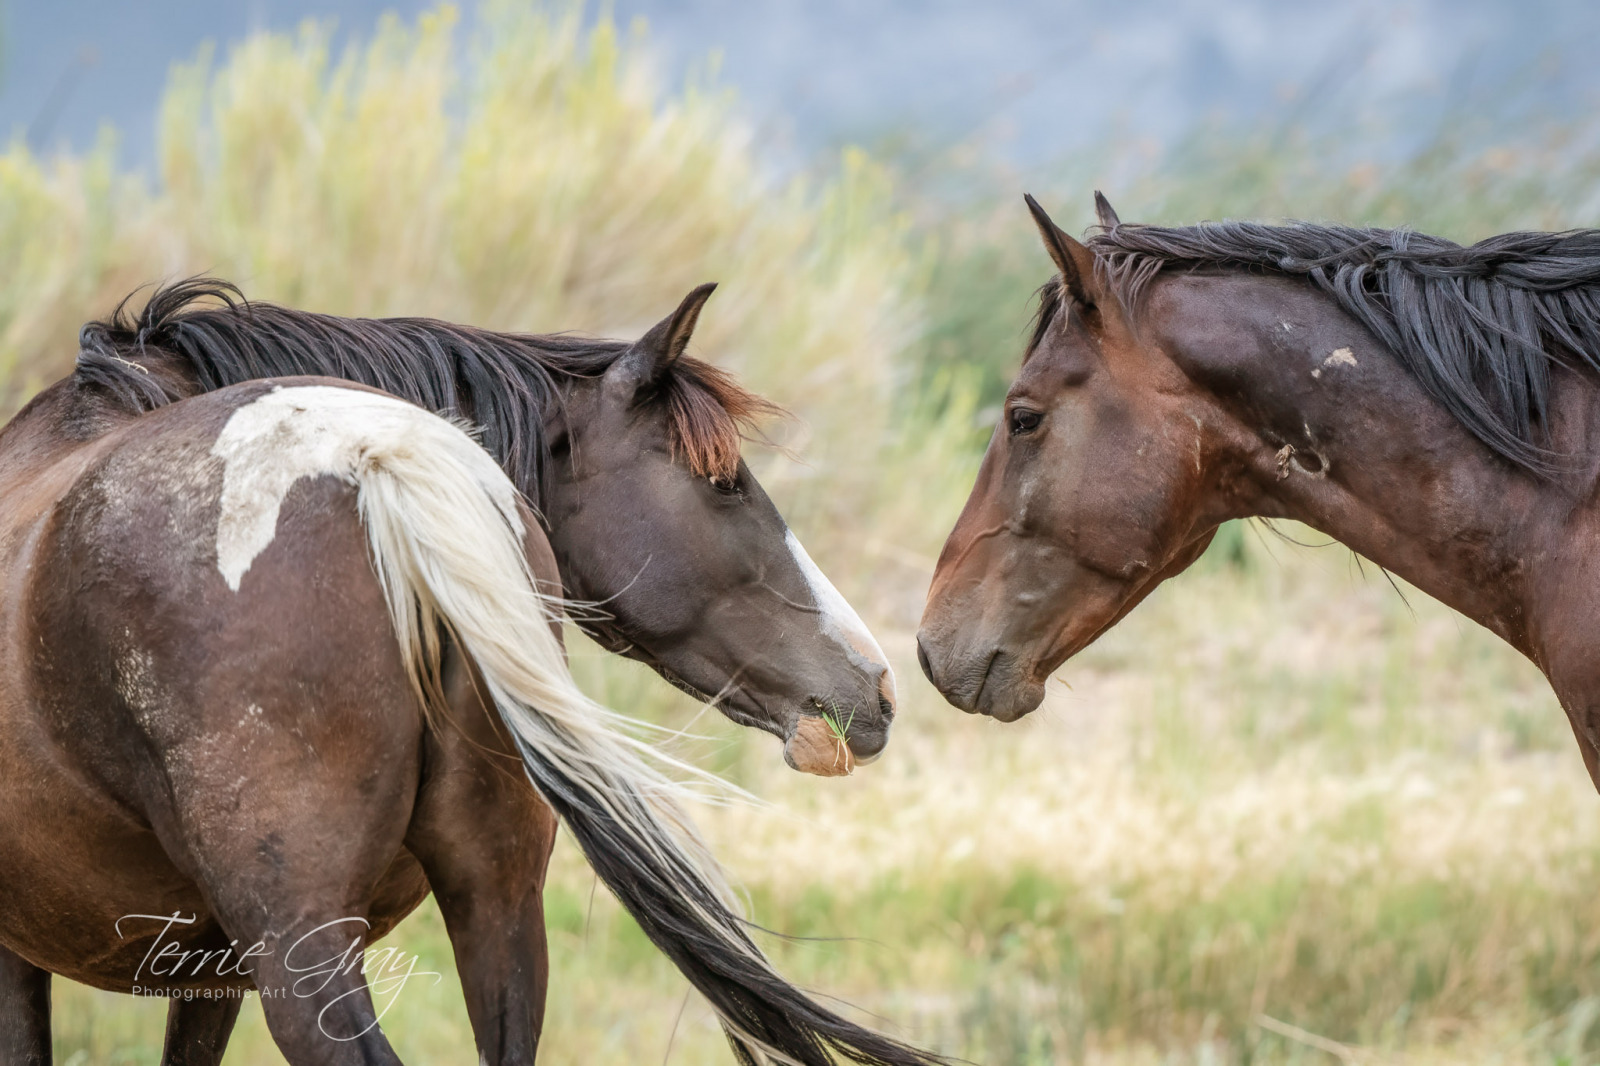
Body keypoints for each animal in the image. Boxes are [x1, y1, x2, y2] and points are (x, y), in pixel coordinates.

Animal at [0, 278, 934, 1056]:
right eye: (726, 483)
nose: (878, 685)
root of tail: (379, 460)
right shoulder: (203, 967)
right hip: (495, 910)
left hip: (312, 950)